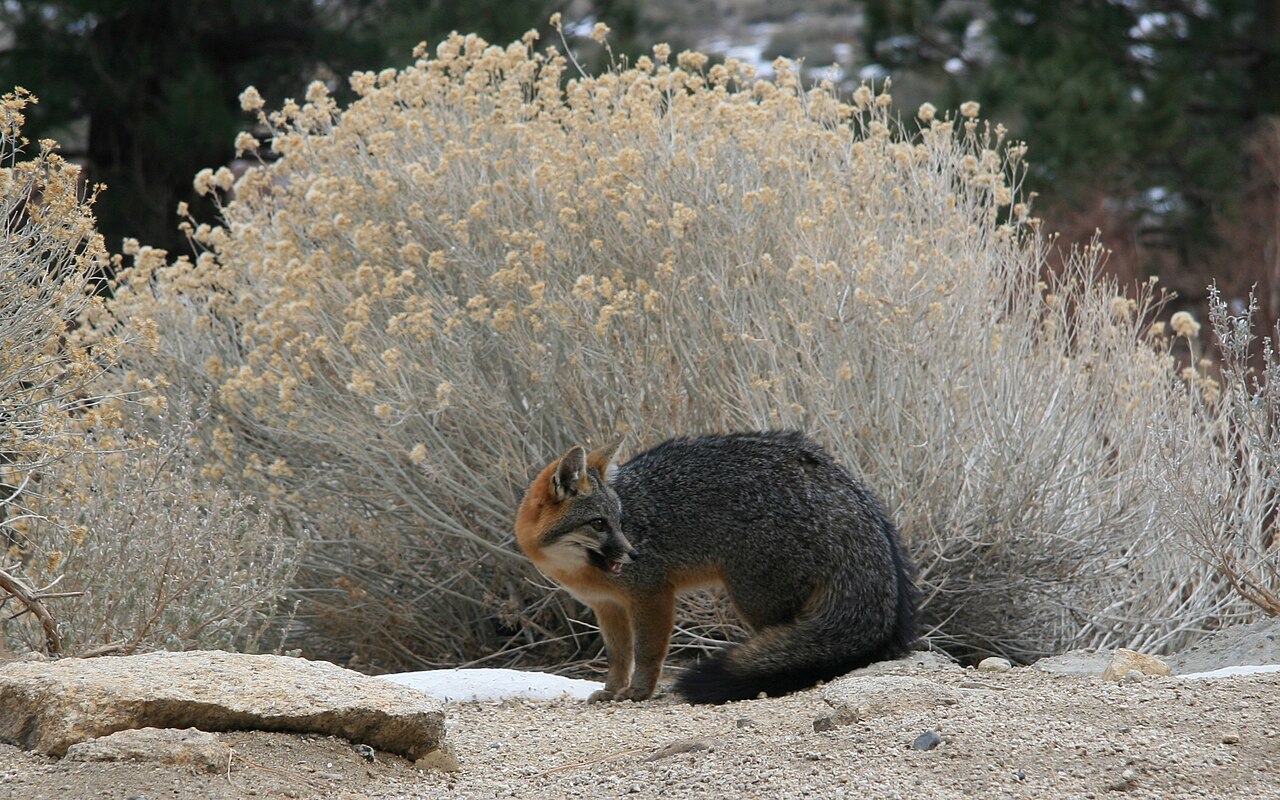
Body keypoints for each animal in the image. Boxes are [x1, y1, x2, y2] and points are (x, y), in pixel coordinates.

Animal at [514, 430, 917, 704]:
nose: (634, 554)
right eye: (599, 524)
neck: (575, 570)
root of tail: (841, 480)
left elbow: (646, 652)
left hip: (755, 599)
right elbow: (618, 656)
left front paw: (638, 691)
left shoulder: (652, 594)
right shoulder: (607, 606)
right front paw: (612, 690)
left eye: (621, 522)